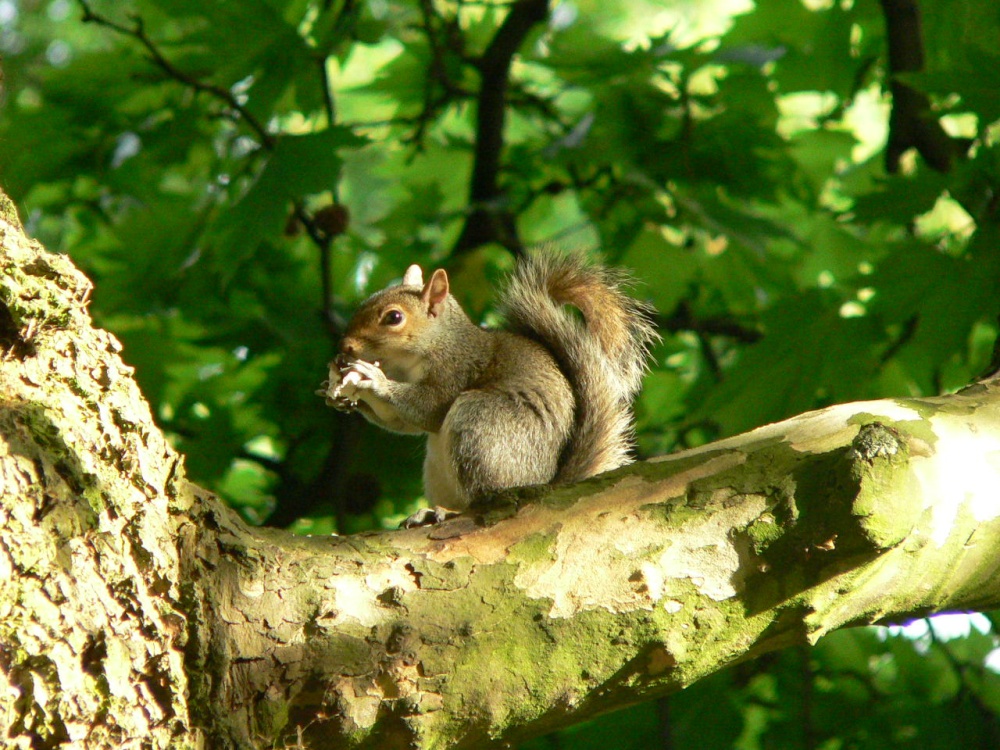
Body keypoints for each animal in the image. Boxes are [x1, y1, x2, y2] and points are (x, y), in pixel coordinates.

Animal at [320, 253, 660, 524]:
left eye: (394, 317)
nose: (344, 347)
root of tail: (543, 485)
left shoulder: (458, 368)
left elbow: (427, 409)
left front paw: (372, 381)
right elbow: (400, 422)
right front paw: (339, 394)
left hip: (480, 425)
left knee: (483, 498)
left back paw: (451, 512)